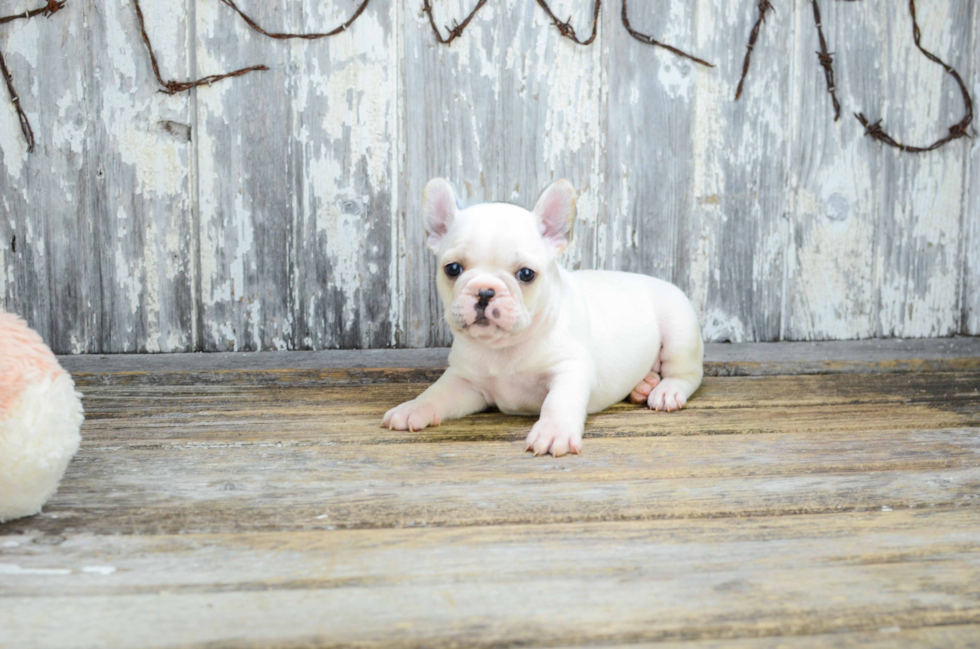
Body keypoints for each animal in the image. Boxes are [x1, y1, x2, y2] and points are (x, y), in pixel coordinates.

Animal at [382, 177, 704, 456]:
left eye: (526, 274)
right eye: (452, 269)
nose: (485, 291)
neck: (504, 348)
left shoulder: (570, 368)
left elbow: (558, 402)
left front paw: (552, 432)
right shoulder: (463, 380)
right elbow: (435, 393)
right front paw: (412, 408)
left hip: (679, 331)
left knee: (686, 373)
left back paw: (665, 390)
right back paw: (643, 385)